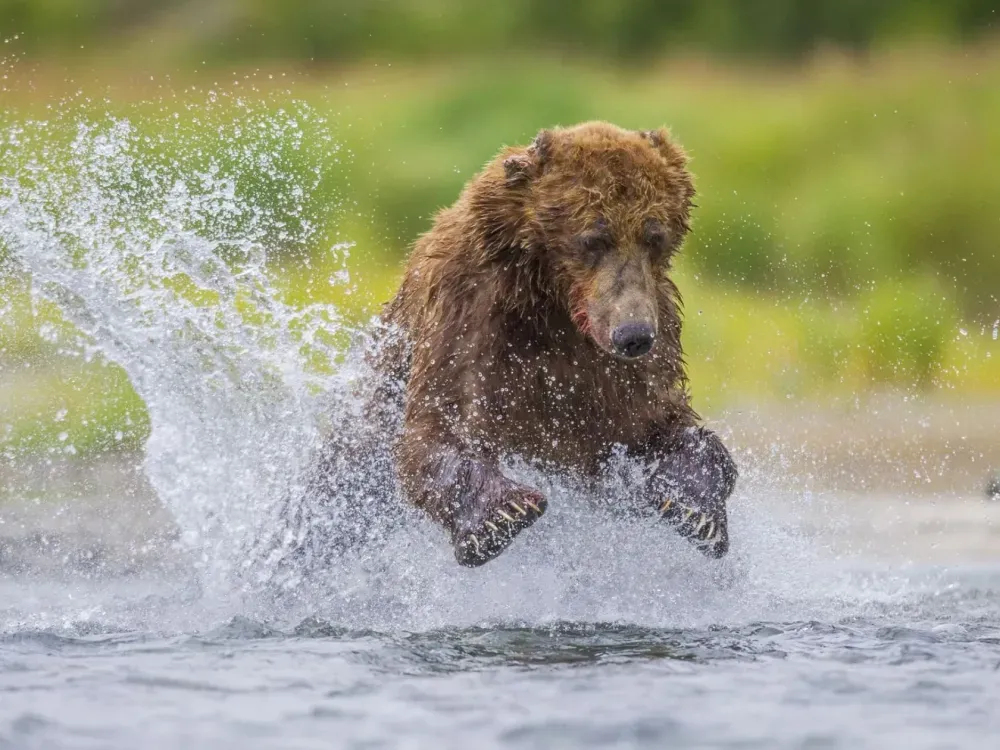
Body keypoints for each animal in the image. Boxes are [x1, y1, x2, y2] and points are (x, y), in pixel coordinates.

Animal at [356, 121, 739, 567]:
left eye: (654, 236)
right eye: (594, 238)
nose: (633, 335)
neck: (550, 301)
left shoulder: (635, 352)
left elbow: (663, 422)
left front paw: (694, 511)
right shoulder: (468, 311)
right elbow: (444, 421)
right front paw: (502, 515)